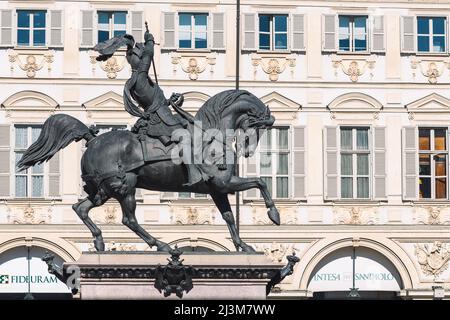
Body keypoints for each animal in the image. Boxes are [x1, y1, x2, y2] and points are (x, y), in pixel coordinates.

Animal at [17, 89, 280, 252]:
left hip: (105, 190)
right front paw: (273, 214)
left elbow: (229, 217)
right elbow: (260, 182)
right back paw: (160, 245)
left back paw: (100, 241)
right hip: (124, 186)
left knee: (80, 208)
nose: (249, 150)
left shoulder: (218, 190)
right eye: (260, 127)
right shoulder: (223, 183)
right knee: (128, 219)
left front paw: (243, 246)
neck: (211, 135)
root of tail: (93, 140)